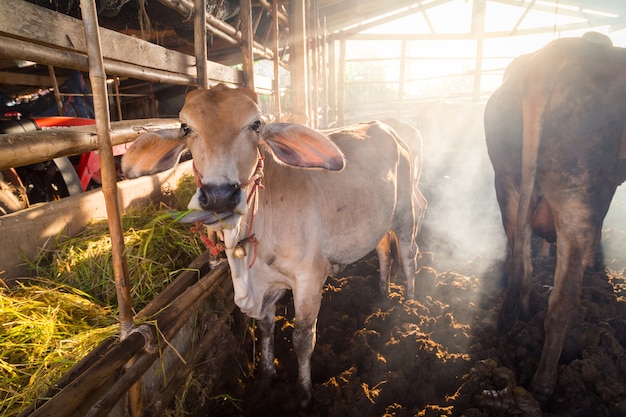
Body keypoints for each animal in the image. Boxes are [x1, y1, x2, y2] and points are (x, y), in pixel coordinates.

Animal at [122, 83, 424, 406]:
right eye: (186, 127)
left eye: (256, 124)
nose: (219, 196)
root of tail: (389, 128)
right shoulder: (266, 284)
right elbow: (265, 328)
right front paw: (266, 375)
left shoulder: (310, 277)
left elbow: (303, 339)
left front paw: (303, 391)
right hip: (378, 222)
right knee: (383, 250)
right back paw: (382, 292)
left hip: (405, 213)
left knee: (409, 255)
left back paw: (410, 305)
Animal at [482, 34, 624, 402]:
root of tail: (550, 58)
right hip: (580, 193)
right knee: (562, 302)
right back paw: (543, 385)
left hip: (508, 182)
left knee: (520, 267)